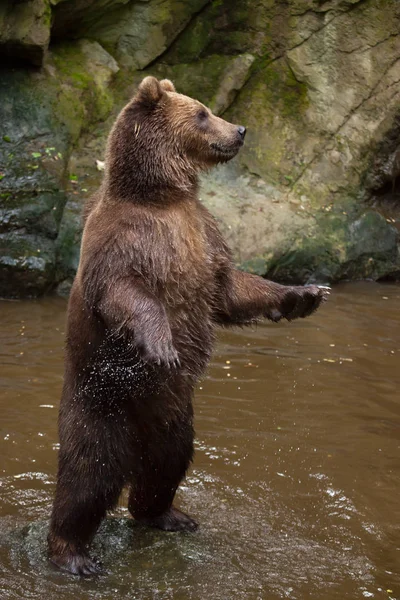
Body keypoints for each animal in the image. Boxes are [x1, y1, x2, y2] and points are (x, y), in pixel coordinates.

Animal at [47, 77, 328, 576]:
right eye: (201, 113)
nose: (240, 129)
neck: (163, 196)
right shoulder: (126, 243)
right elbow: (127, 293)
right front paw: (161, 345)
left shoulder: (203, 236)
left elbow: (228, 288)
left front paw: (305, 294)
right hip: (100, 404)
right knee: (87, 477)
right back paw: (73, 554)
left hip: (172, 417)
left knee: (167, 465)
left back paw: (168, 515)